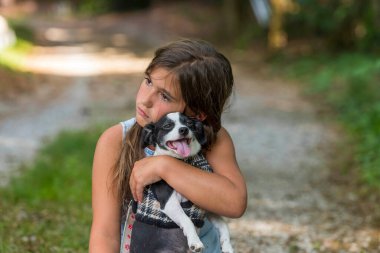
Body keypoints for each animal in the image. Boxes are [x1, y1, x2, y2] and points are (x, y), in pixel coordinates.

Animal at [129, 112, 233, 253]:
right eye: (167, 126)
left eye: (189, 123)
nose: (184, 129)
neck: (185, 161)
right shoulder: (169, 203)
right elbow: (187, 219)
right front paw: (195, 242)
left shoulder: (207, 208)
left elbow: (223, 225)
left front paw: (227, 247)